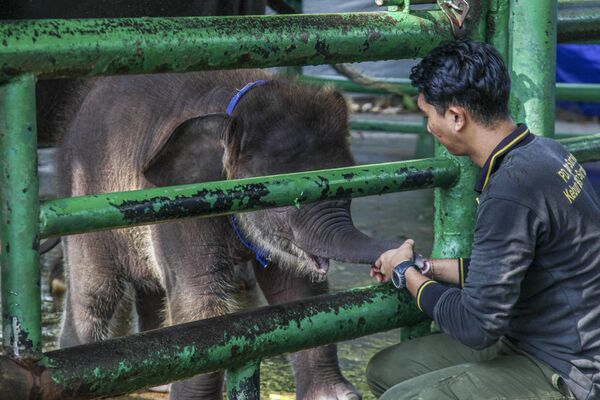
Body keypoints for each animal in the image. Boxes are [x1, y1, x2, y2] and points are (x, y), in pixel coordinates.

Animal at [58, 70, 398, 398]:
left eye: (351, 184)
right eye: (283, 200)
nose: (402, 252)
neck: (232, 109)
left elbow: (299, 291)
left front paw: (340, 396)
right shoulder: (181, 198)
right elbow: (201, 306)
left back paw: (160, 384)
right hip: (83, 199)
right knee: (95, 293)